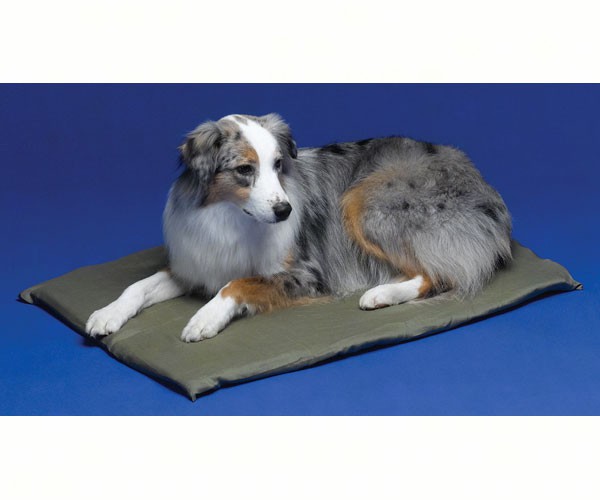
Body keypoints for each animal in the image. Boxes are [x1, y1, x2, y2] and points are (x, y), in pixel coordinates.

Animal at [86, 113, 512, 342]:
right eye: (245, 169)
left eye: (278, 164)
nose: (285, 210)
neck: (232, 217)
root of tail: (484, 183)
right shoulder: (194, 265)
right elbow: (138, 286)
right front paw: (107, 313)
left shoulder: (307, 274)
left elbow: (237, 283)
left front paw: (205, 317)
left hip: (366, 203)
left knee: (439, 273)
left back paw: (380, 293)